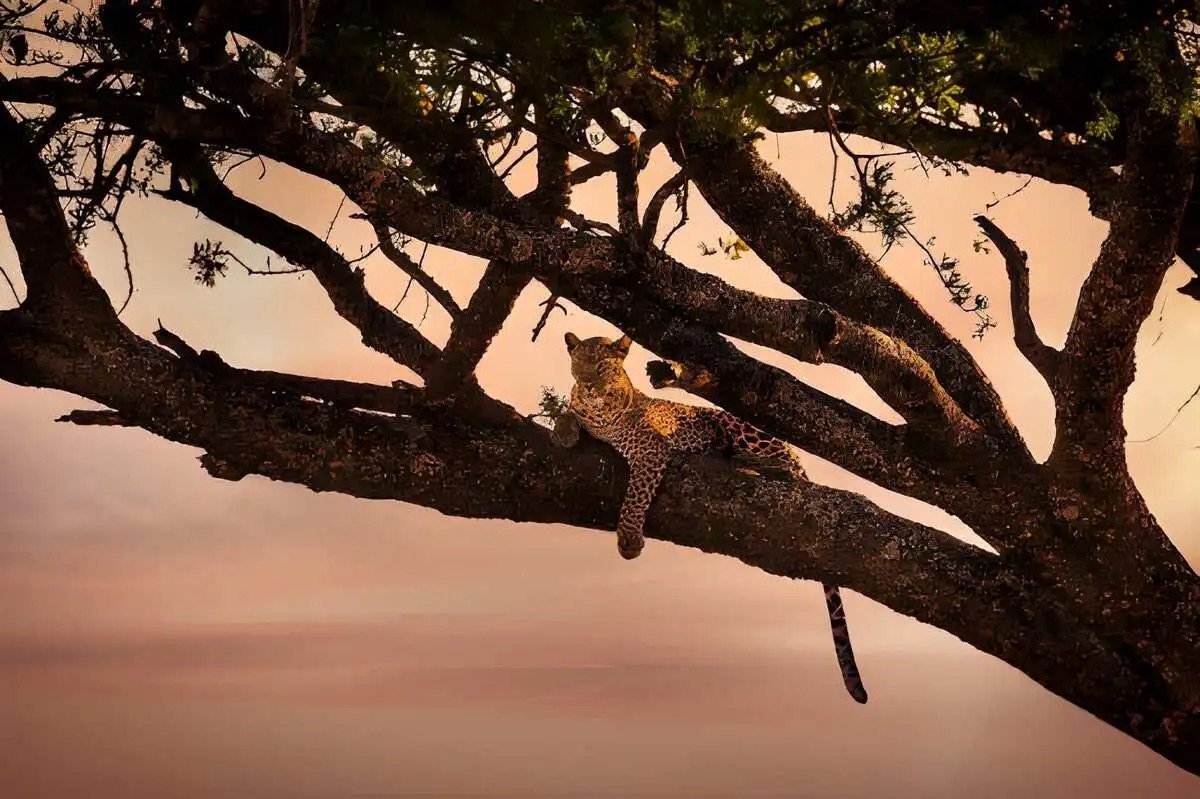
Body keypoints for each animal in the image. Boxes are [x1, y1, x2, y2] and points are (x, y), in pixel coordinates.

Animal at [552, 332, 868, 704]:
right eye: (580, 364)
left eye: (602, 366)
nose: (589, 385)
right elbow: (568, 412)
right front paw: (564, 430)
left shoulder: (650, 449)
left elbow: (636, 494)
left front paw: (629, 540)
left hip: (740, 428)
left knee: (786, 466)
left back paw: (753, 463)